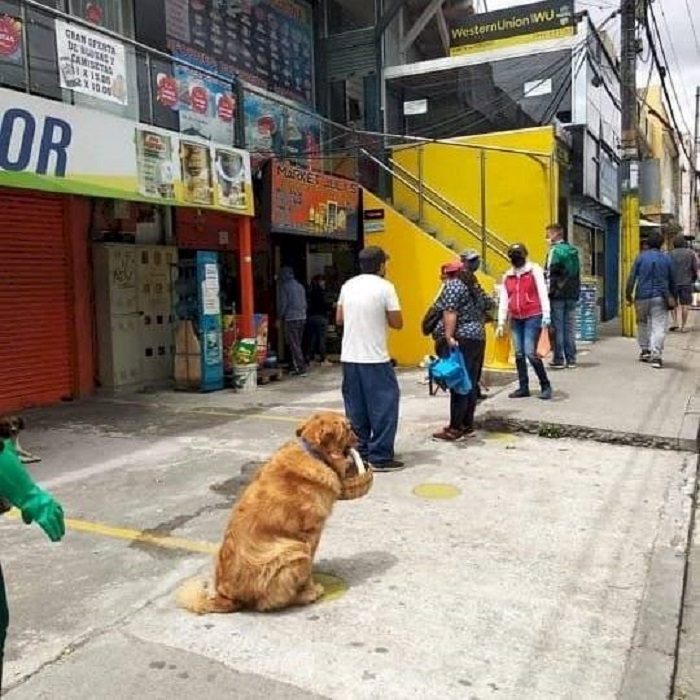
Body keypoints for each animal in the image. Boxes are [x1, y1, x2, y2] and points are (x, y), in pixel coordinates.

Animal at [178, 410, 358, 612]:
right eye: (348, 428)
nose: (359, 439)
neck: (313, 453)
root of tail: (227, 597)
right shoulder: (310, 535)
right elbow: (308, 570)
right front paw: (311, 589)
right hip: (293, 549)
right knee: (269, 602)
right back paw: (303, 596)